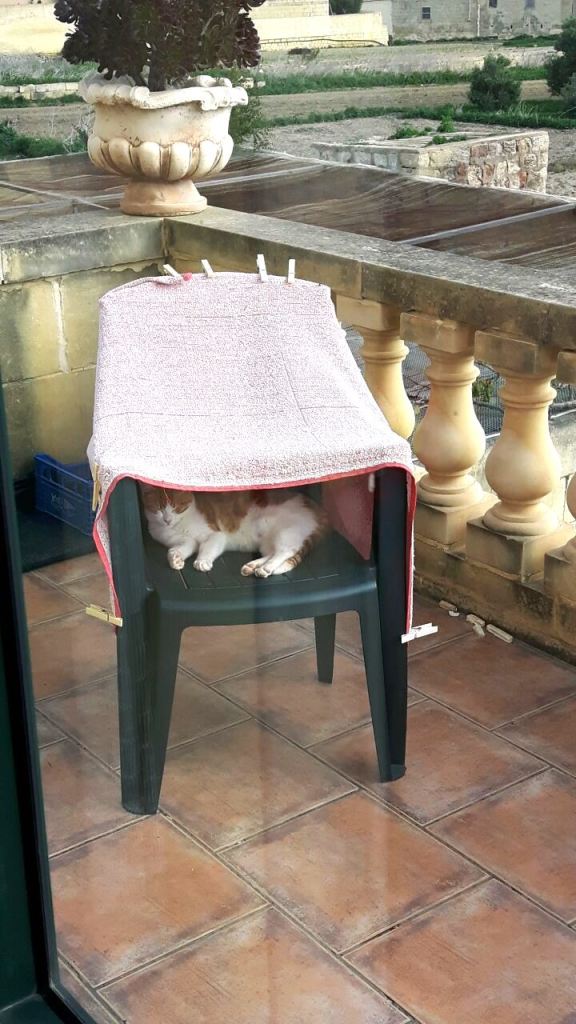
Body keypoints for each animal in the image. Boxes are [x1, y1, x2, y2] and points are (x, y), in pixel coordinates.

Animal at [140, 485, 328, 577]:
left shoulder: (216, 534)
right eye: (158, 509)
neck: (178, 525)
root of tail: (320, 511)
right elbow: (183, 546)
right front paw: (176, 559)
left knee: (286, 552)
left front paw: (202, 561)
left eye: (175, 507)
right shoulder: (180, 539)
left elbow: (207, 548)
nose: (167, 519)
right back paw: (254, 566)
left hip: (285, 532)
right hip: (267, 540)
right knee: (273, 553)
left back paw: (266, 568)